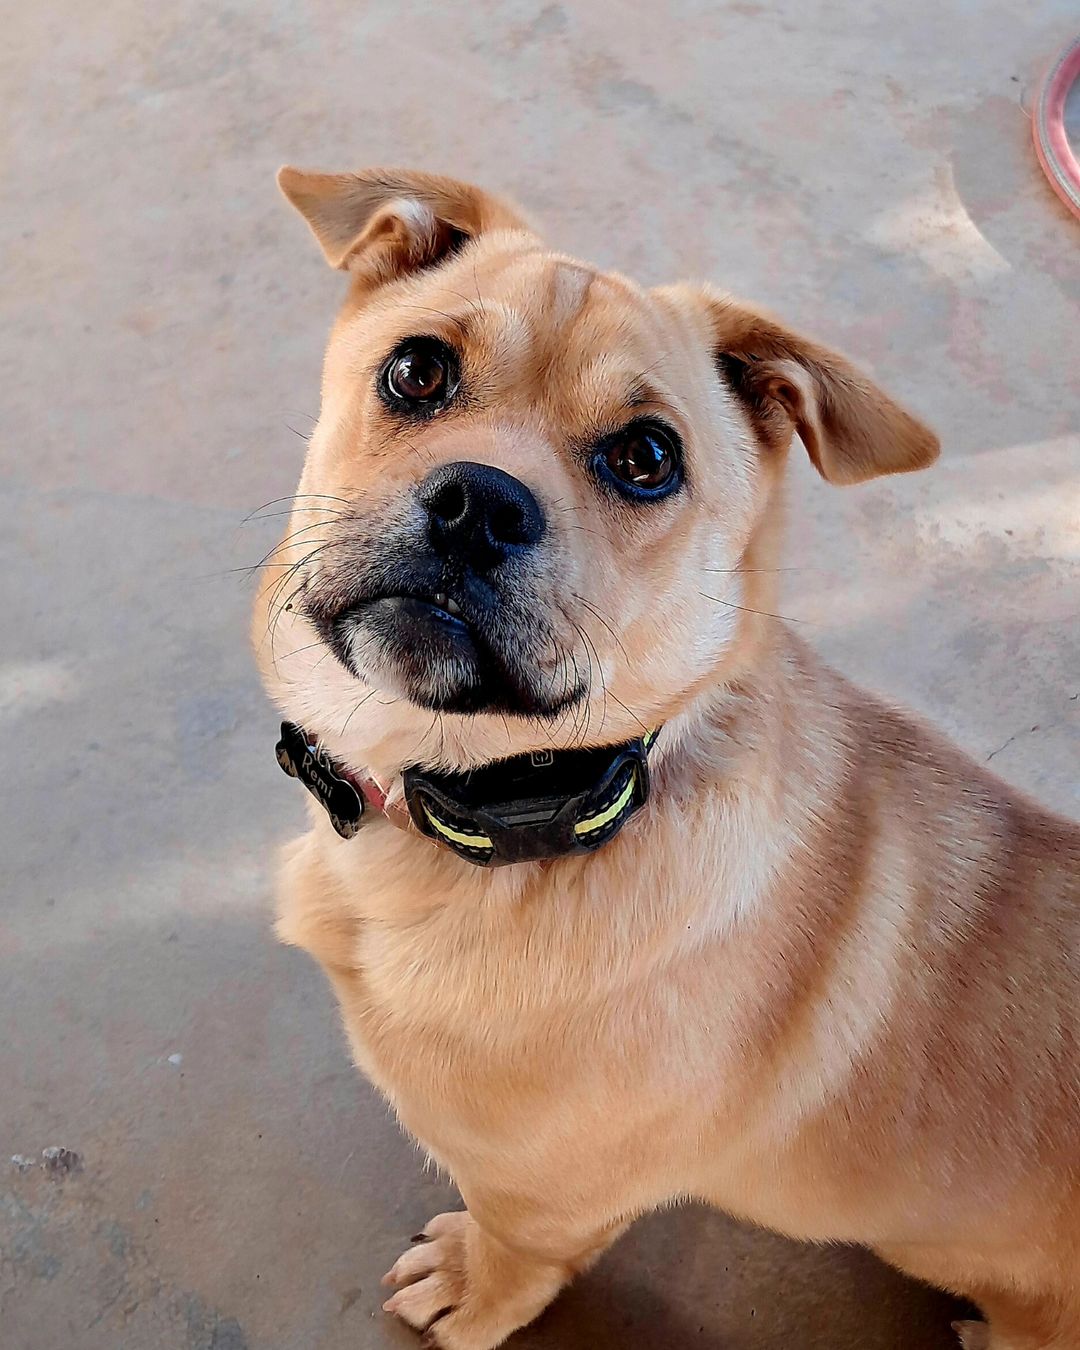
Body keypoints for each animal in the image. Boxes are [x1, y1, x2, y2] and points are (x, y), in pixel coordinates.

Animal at [255, 168, 1080, 1350]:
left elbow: (515, 1255)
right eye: (417, 370)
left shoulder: (545, 1197)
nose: (477, 503)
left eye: (646, 459)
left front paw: (470, 1289)